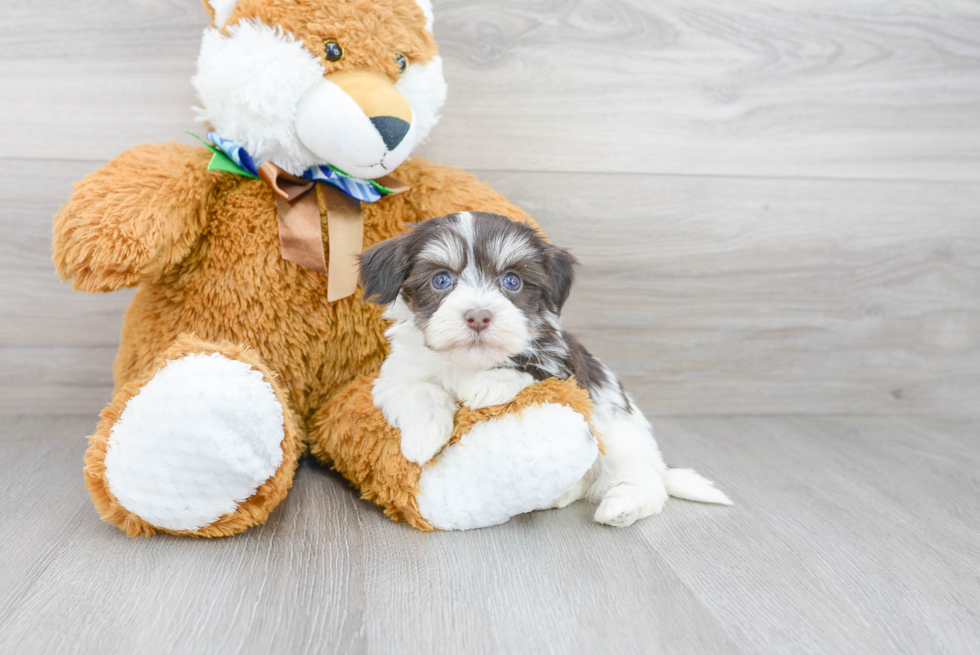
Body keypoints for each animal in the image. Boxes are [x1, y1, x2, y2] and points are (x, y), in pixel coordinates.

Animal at [358, 213, 728, 532]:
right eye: (441, 280)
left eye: (512, 281)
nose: (478, 315)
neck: (469, 362)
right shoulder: (394, 376)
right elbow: (417, 389)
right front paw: (424, 437)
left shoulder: (566, 369)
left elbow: (534, 371)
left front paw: (488, 384)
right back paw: (560, 495)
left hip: (620, 436)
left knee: (645, 481)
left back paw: (622, 504)